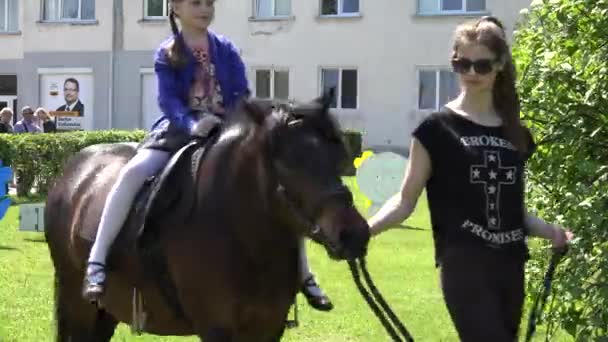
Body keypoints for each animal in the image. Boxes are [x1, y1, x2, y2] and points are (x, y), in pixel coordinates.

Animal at [44, 92, 370, 340]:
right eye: (289, 163)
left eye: (337, 156)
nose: (354, 234)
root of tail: (74, 168)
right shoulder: (217, 328)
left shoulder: (268, 328)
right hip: (77, 301)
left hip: (105, 309)